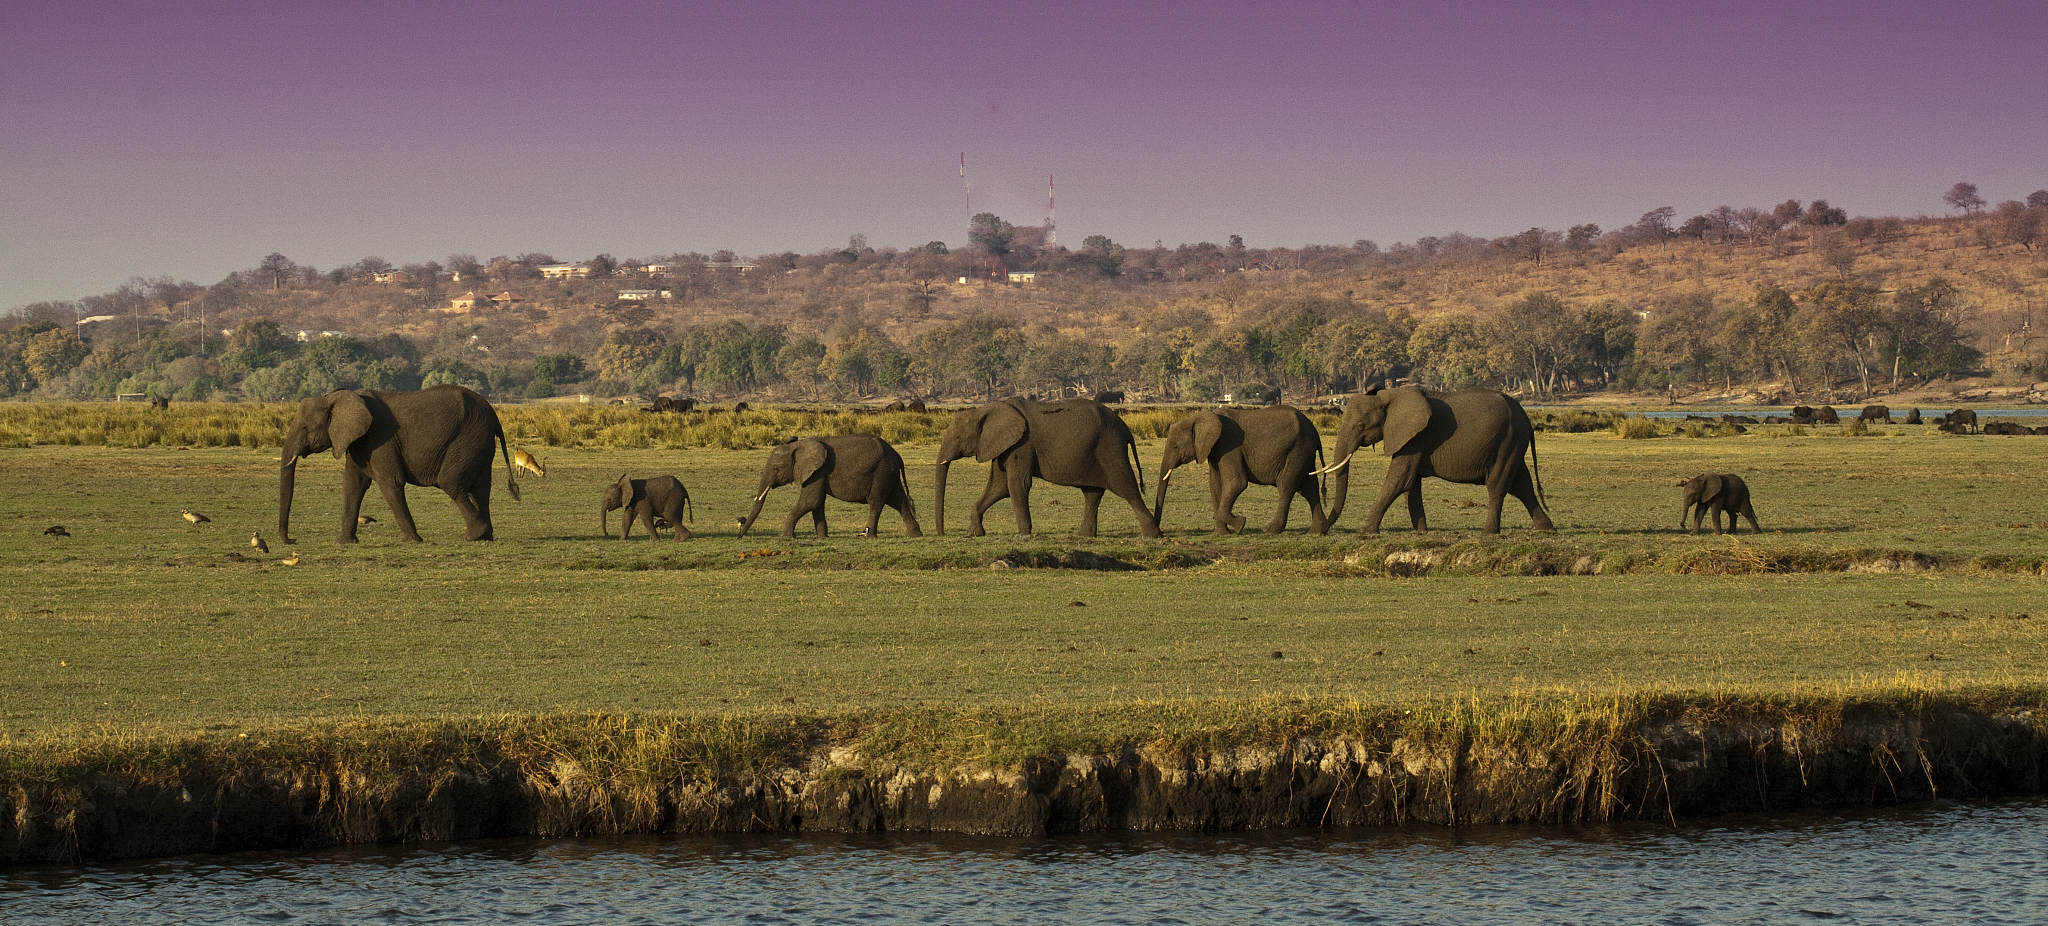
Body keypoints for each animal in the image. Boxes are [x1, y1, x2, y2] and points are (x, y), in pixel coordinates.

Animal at [279, 385, 517, 544]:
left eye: (306, 428)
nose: (292, 541)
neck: (336, 397)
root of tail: (493, 413)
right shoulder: (359, 442)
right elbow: (353, 485)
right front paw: (344, 543)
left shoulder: (380, 437)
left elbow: (391, 482)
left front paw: (414, 541)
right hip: (480, 442)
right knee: (480, 489)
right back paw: (485, 537)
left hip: (467, 438)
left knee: (451, 483)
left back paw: (473, 535)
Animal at [738, 434, 921, 539]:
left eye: (776, 469)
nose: (740, 525)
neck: (798, 446)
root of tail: (898, 457)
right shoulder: (817, 474)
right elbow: (817, 503)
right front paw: (822, 538)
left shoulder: (818, 471)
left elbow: (810, 501)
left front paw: (785, 538)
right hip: (889, 473)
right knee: (899, 501)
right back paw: (915, 536)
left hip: (881, 471)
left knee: (877, 502)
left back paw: (869, 536)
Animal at [935, 396, 1160, 539]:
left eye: (957, 438)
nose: (942, 534)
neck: (985, 409)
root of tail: (1126, 428)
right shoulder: (1004, 446)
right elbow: (998, 486)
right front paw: (973, 534)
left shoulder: (1022, 444)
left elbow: (1017, 485)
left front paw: (1023, 535)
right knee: (1092, 493)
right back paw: (1083, 536)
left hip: (1110, 448)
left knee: (1126, 487)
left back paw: (1152, 536)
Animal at [1153, 405, 1328, 535]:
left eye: (1176, 447)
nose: (1159, 530)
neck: (1197, 418)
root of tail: (1315, 432)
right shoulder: (1215, 449)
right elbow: (1215, 485)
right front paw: (1221, 534)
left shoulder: (1229, 444)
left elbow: (1236, 483)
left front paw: (1240, 525)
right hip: (1305, 452)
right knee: (1310, 488)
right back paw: (1316, 532)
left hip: (1298, 449)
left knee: (1286, 486)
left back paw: (1269, 530)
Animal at [1321, 386, 1553, 535]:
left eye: (1361, 426)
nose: (1322, 530)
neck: (1389, 395)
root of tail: (1525, 415)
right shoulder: (1412, 439)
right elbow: (1411, 484)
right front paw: (1421, 532)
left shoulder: (1416, 437)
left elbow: (1400, 479)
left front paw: (1365, 531)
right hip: (1513, 441)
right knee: (1521, 484)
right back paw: (1546, 527)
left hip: (1508, 440)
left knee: (1498, 485)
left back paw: (1489, 533)